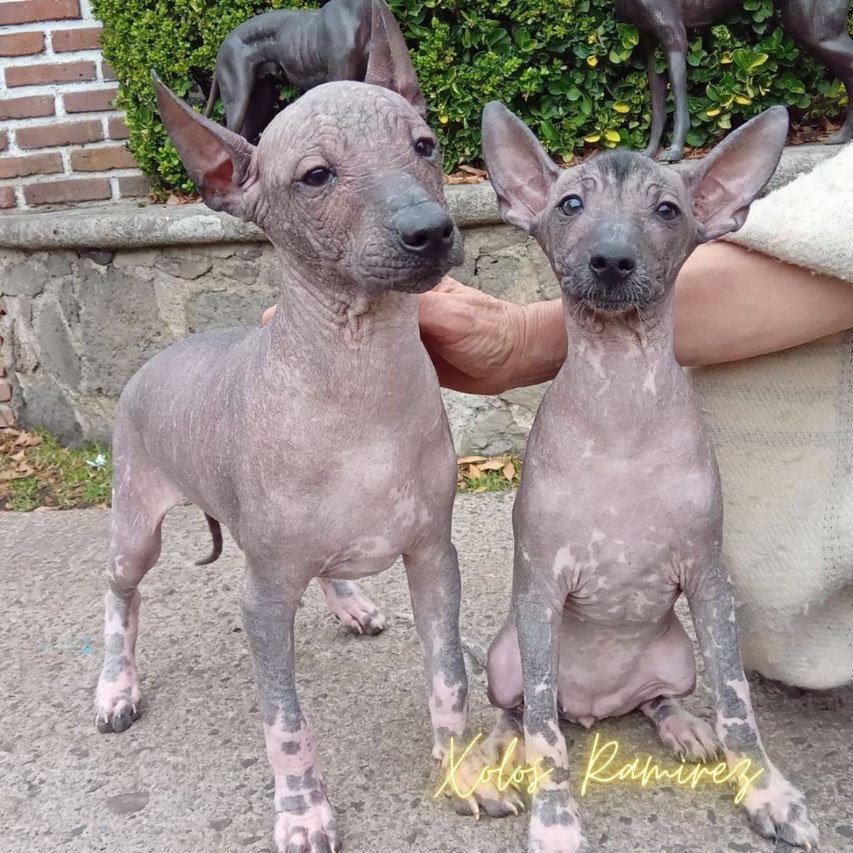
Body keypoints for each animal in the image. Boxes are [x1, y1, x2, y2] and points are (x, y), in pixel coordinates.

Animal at [93, 30, 510, 848]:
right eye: (316, 176)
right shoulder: (262, 598)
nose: (431, 231)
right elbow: (285, 723)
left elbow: (449, 675)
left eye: (425, 145)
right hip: (136, 523)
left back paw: (348, 601)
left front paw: (460, 771)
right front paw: (302, 809)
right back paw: (115, 686)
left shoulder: (432, 558)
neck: (360, 383)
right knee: (119, 592)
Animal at [480, 103, 820, 848]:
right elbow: (543, 734)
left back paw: (682, 726)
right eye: (570, 204)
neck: (621, 405)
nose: (611, 259)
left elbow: (738, 705)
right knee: (521, 712)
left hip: (677, 656)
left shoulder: (710, 582)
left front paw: (767, 792)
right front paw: (554, 820)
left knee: (654, 699)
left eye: (667, 210)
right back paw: (491, 764)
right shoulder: (539, 587)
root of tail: (594, 705)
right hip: (505, 654)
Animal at [616, 0, 852, 161]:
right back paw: (843, 135)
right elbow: (657, 109)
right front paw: (649, 152)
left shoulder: (674, 35)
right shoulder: (649, 43)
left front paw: (675, 150)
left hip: (816, 30)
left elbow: (680, 100)